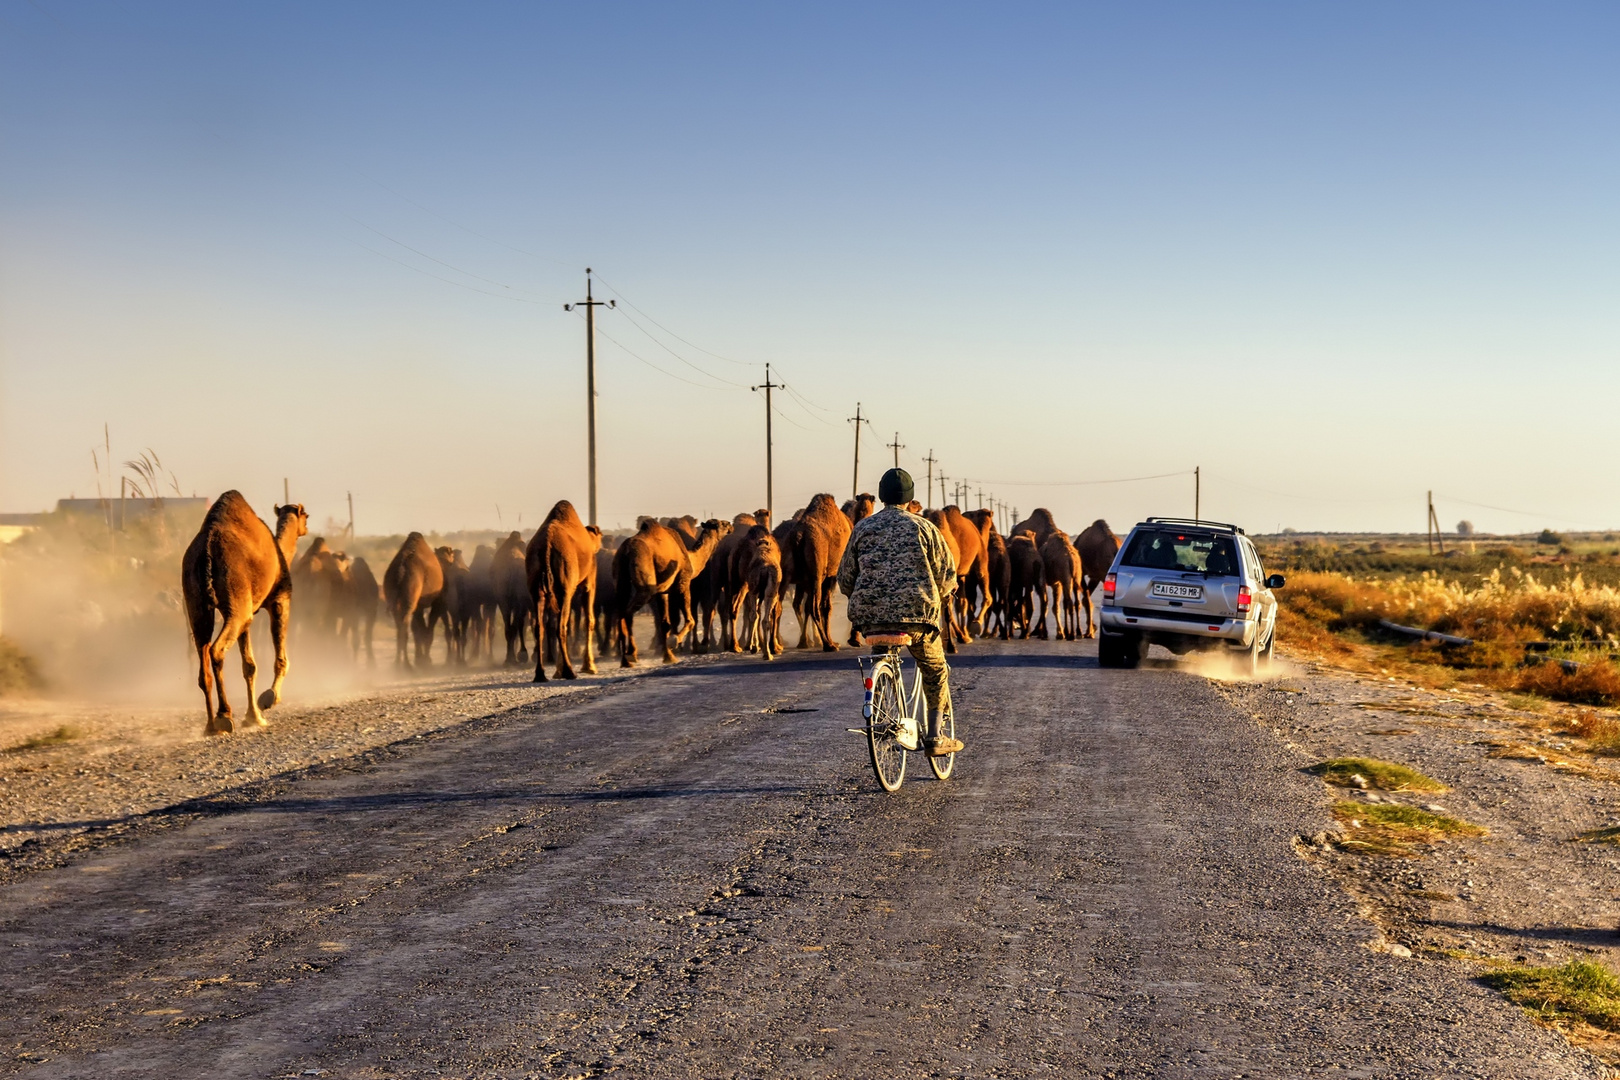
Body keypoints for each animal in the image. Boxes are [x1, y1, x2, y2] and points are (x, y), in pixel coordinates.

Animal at [383, 531, 447, 667]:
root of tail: (400, 572)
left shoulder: (419, 605)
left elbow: (418, 630)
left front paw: (420, 659)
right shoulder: (436, 603)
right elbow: (426, 631)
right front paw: (426, 660)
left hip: (395, 600)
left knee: (400, 628)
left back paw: (397, 663)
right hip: (410, 598)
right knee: (405, 629)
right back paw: (407, 665)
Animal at [489, 531, 534, 667]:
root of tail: (511, 571)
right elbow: (522, 624)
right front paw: (522, 655)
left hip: (504, 598)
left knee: (509, 627)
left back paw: (509, 659)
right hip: (516, 599)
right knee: (516, 625)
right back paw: (516, 657)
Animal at [528, 501, 605, 683]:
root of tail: (546, 547)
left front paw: (558, 671)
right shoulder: (589, 579)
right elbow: (589, 620)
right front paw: (589, 667)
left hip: (536, 586)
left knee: (540, 627)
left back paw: (540, 674)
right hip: (564, 582)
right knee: (561, 627)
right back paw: (570, 671)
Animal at [735, 527, 784, 663]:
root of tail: (764, 568)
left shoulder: (756, 592)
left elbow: (756, 614)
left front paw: (755, 646)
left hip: (755, 588)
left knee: (756, 616)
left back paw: (761, 651)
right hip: (769, 592)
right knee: (761, 617)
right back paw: (764, 652)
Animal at [784, 495, 848, 650]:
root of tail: (799, 537)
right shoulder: (831, 575)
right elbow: (826, 607)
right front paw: (832, 642)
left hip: (790, 575)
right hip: (816, 574)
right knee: (814, 607)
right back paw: (827, 644)